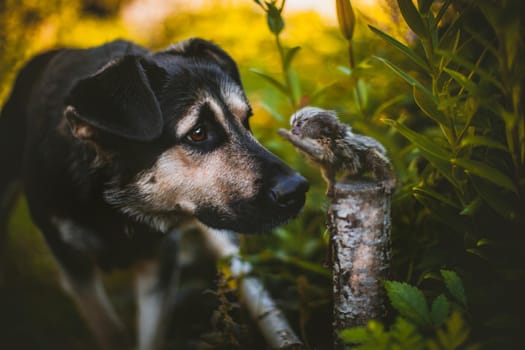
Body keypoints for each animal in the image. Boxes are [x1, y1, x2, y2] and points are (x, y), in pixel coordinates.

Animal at [0, 38, 310, 350]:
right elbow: (109, 329)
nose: (298, 189)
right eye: (198, 133)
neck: (117, 206)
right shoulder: (72, 262)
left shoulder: (159, 261)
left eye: (246, 120)